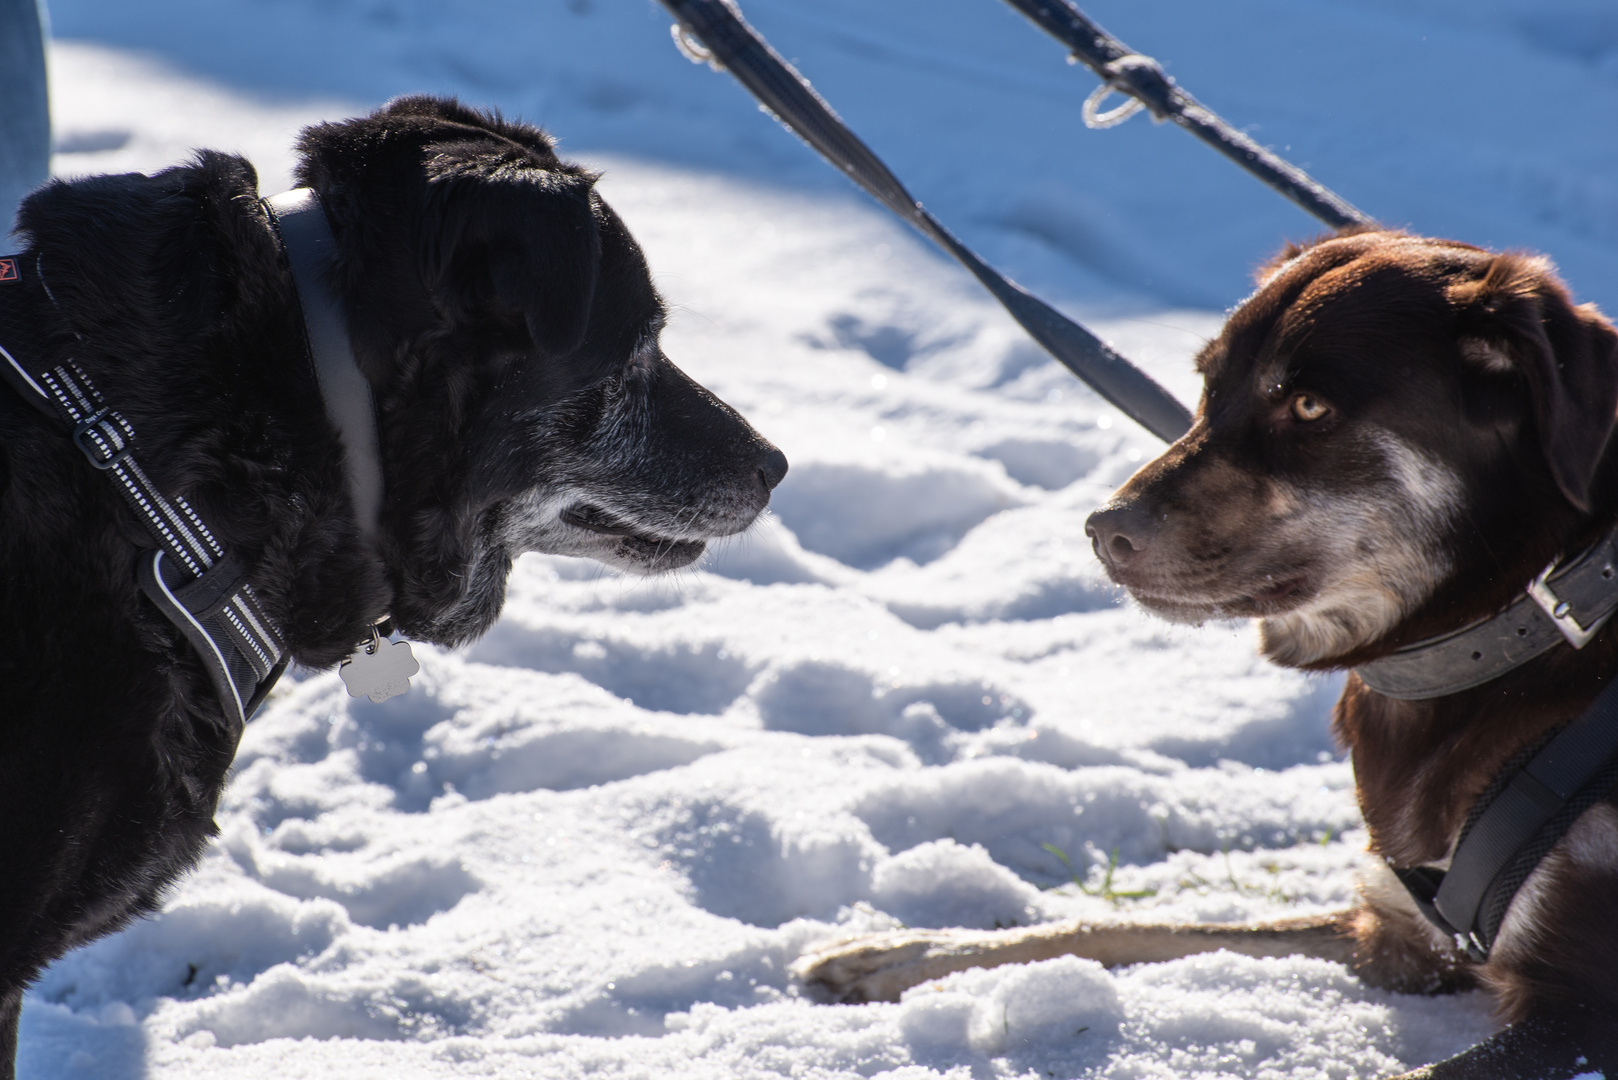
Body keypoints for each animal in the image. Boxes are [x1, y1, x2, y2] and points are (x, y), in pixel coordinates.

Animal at [792, 233, 1618, 1075]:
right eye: (1208, 386)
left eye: (1309, 405)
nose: (1104, 530)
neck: (1510, 632)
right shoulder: (1394, 932)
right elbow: (1127, 927)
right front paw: (904, 952)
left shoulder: (1581, 1013)